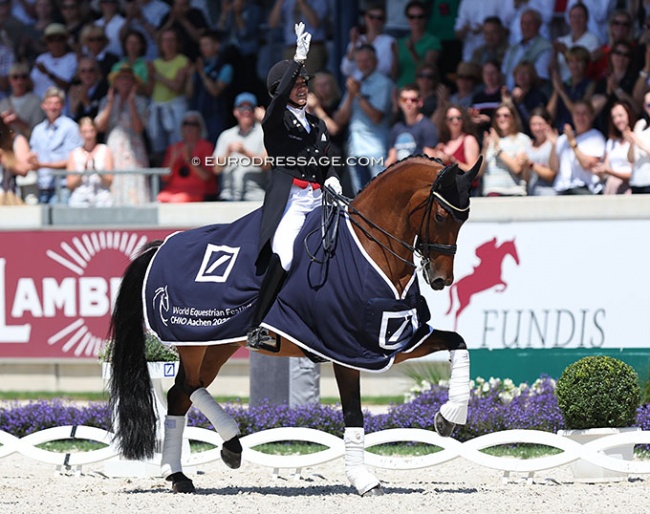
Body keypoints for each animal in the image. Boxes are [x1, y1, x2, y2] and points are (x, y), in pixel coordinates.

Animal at [109, 154, 478, 494]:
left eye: (465, 218)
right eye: (442, 215)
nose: (441, 279)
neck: (371, 248)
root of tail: (161, 247)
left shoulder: (394, 339)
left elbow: (458, 342)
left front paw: (449, 418)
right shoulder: (348, 348)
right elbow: (354, 414)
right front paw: (364, 480)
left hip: (216, 343)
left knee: (185, 390)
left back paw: (212, 457)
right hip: (194, 341)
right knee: (181, 391)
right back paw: (187, 468)